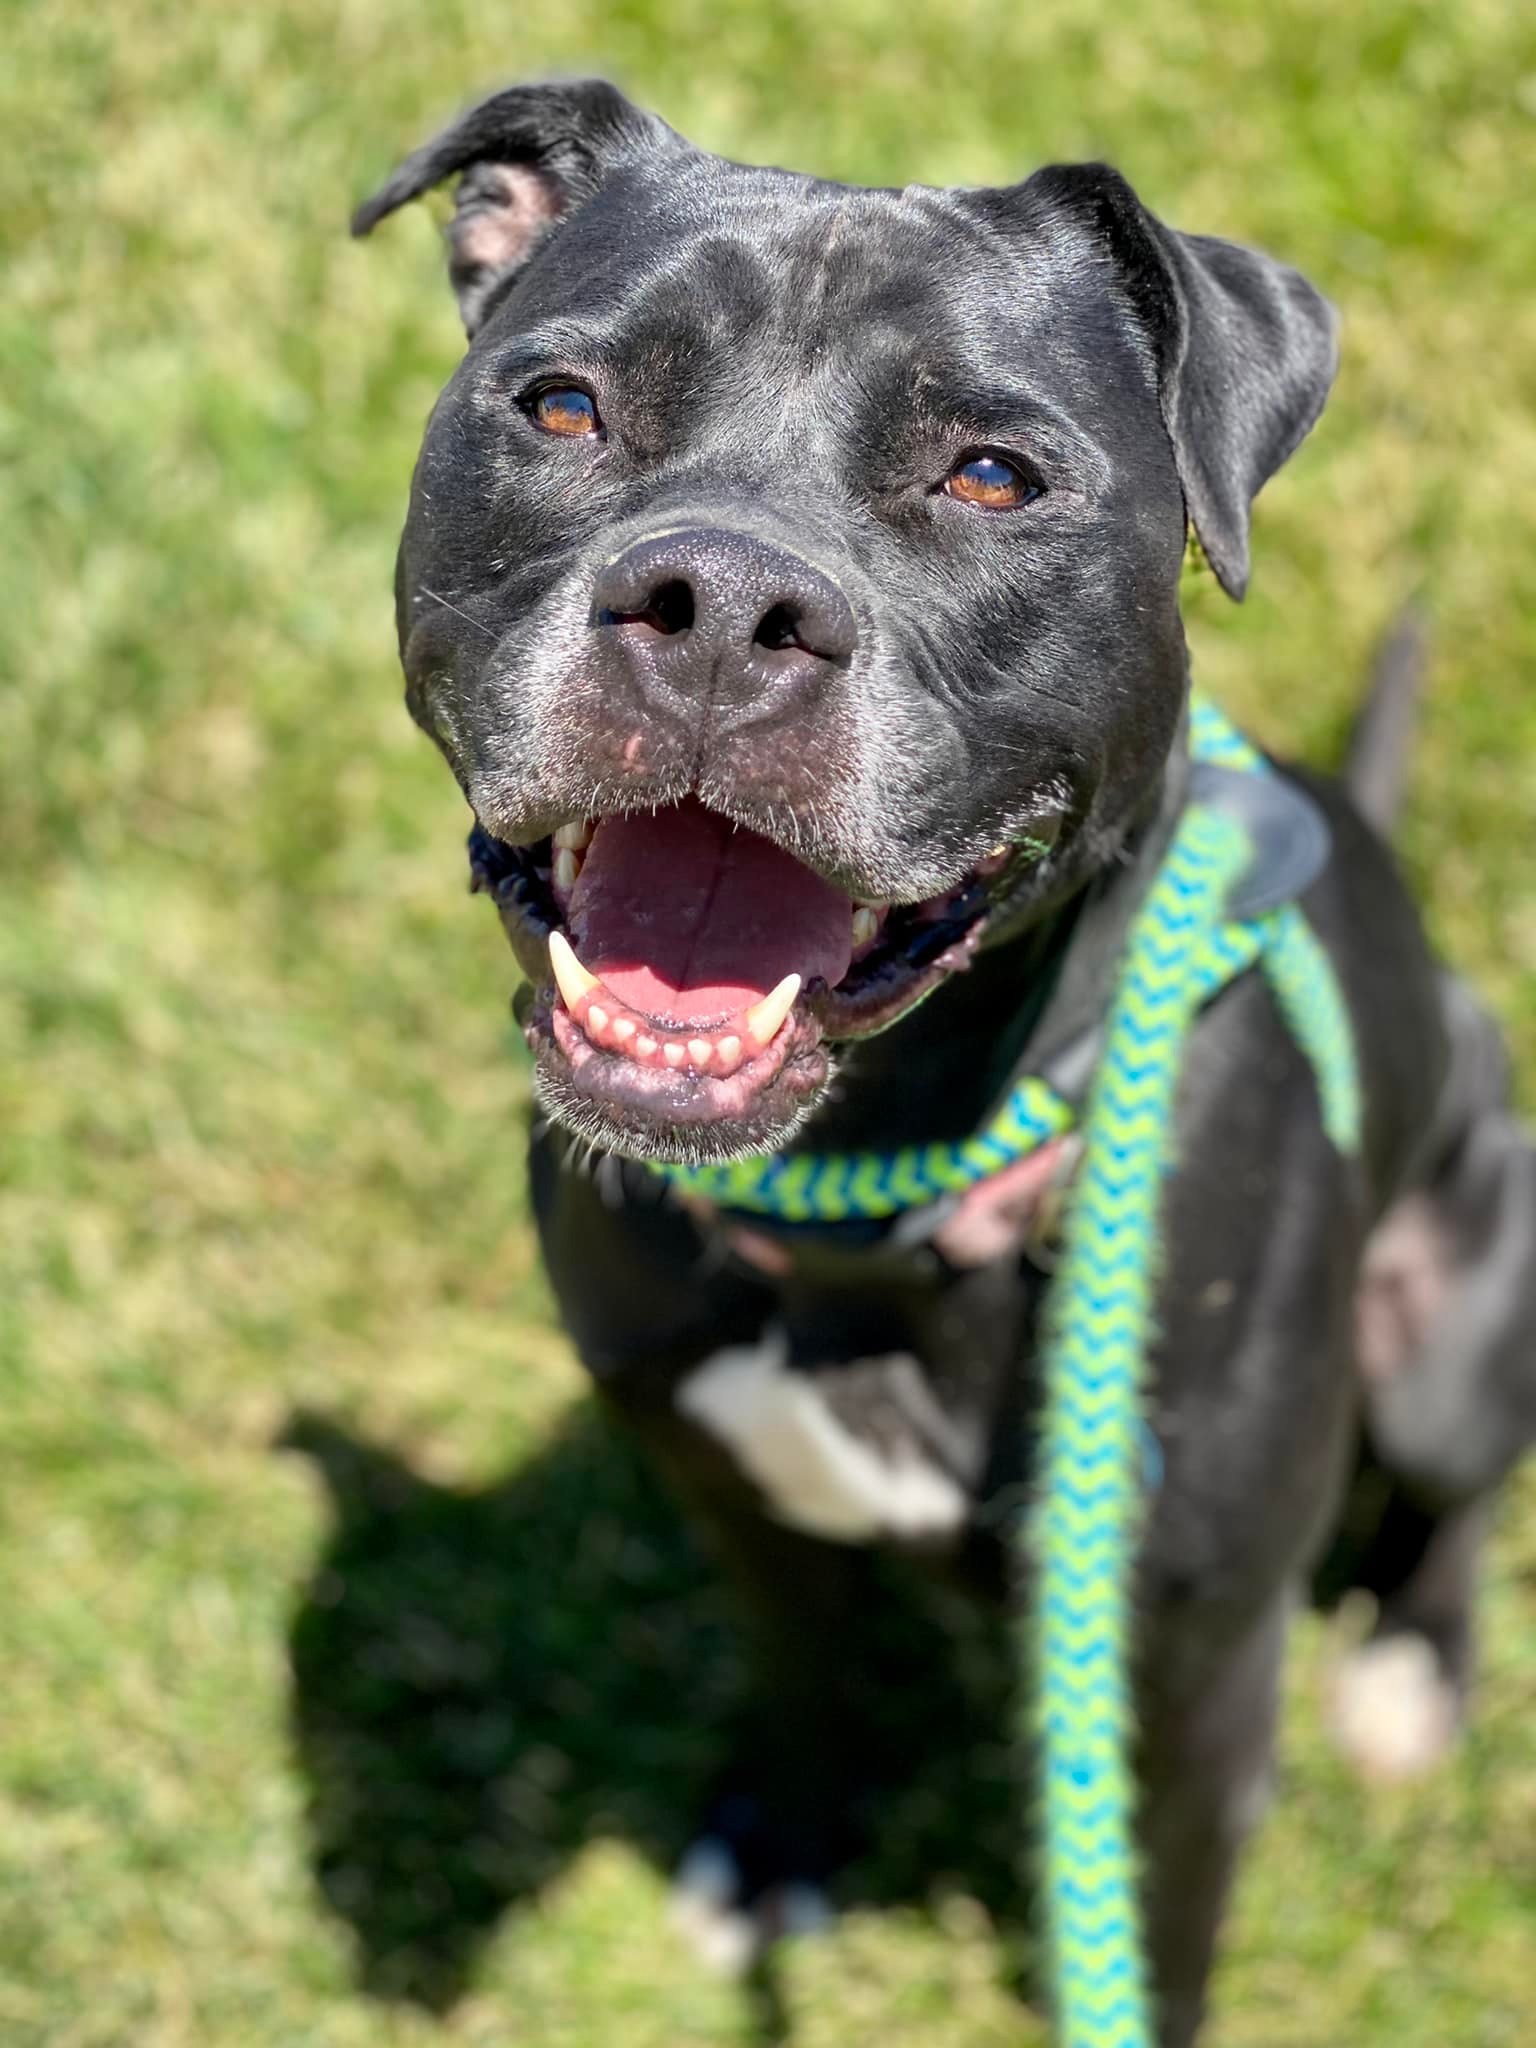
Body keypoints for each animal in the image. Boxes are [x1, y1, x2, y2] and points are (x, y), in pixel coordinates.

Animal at [354, 83, 1536, 2048]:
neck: (873, 1197)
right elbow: (803, 1679)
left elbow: (1167, 1928)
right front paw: (778, 1848)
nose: (717, 601)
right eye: (564, 406)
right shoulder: (735, 1500)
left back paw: (1411, 1676)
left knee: (1453, 1498)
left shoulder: (1194, 1687)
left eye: (991, 475)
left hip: (1460, 1318)